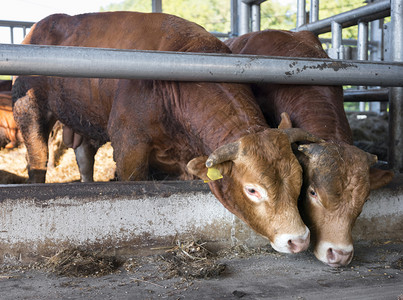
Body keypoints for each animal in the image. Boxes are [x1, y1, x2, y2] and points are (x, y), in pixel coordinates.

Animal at [12, 12, 322, 254]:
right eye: (252, 189)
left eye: (299, 180)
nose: (299, 240)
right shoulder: (130, 146)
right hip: (29, 109)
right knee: (37, 159)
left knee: (84, 156)